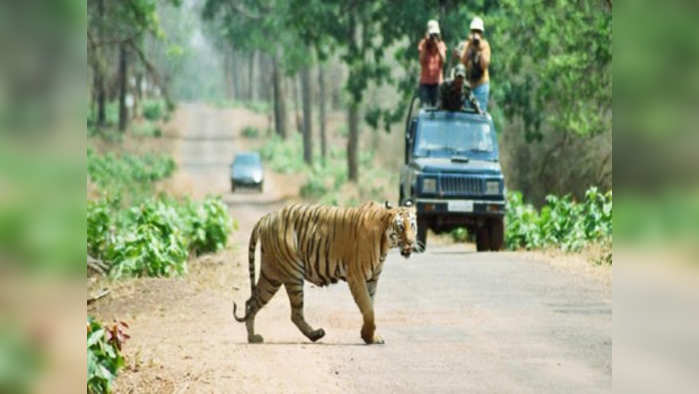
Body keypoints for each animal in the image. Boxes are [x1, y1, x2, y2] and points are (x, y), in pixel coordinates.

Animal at [232, 200, 418, 344]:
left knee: (252, 301)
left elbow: (370, 306)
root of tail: (268, 216)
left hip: (271, 275)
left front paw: (371, 336)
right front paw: (367, 336)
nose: (411, 242)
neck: (385, 242)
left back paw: (252, 337)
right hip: (292, 273)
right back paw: (315, 335)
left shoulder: (372, 280)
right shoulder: (356, 276)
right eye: (401, 227)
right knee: (295, 314)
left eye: (413, 225)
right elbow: (368, 309)